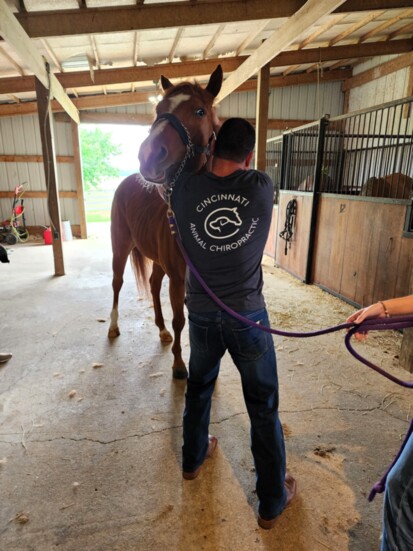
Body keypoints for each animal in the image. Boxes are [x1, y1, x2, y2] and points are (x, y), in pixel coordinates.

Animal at [107, 64, 222, 380]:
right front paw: (180, 366)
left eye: (199, 111)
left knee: (153, 283)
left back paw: (160, 330)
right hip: (120, 248)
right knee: (117, 283)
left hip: (157, 260)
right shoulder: (179, 279)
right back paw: (113, 327)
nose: (148, 155)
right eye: (158, 109)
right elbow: (180, 320)